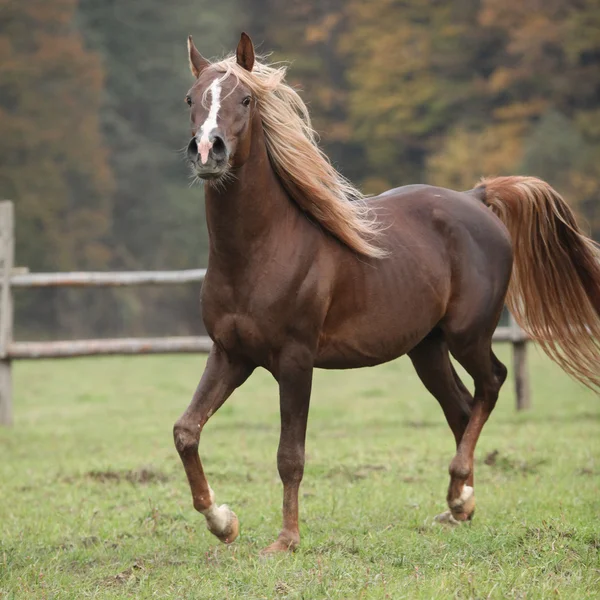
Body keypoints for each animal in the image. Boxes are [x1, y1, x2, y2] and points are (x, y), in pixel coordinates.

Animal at [172, 30, 600, 552]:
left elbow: (289, 455)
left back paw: (459, 494)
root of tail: (477, 199)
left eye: (246, 100)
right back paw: (459, 503)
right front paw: (223, 521)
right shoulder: (231, 354)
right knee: (461, 407)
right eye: (191, 98)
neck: (261, 250)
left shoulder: (295, 360)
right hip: (426, 348)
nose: (207, 152)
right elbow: (187, 430)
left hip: (468, 335)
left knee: (491, 384)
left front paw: (286, 540)